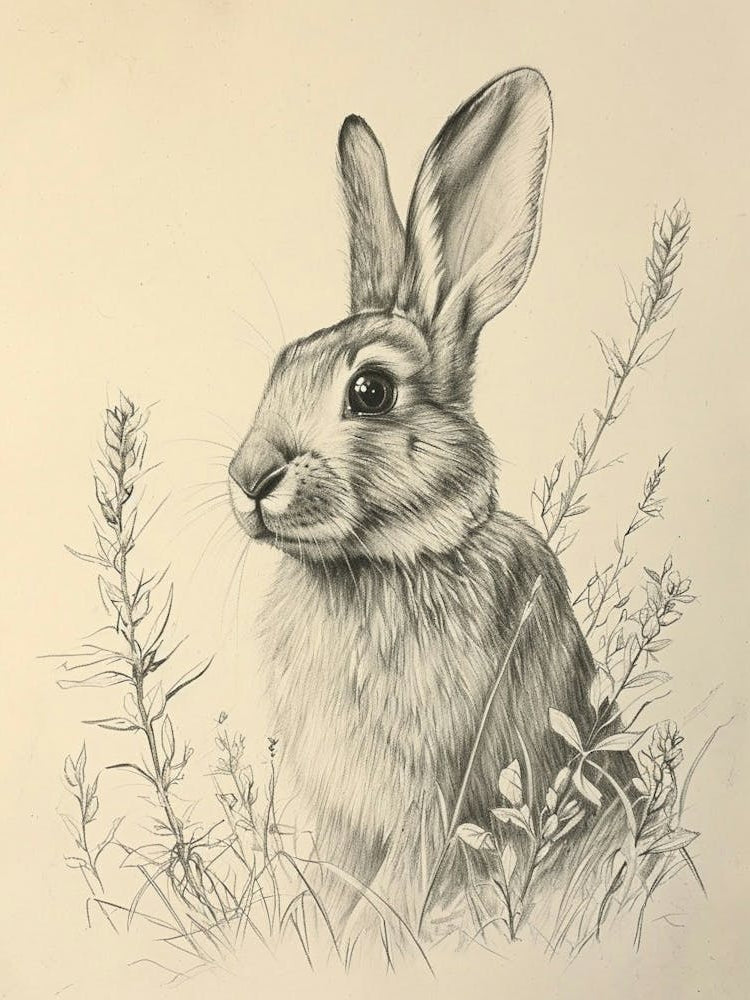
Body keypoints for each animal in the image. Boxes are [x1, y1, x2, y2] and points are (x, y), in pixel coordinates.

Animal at [227, 67, 633, 939]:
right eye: (283, 364)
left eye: (371, 391)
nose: (249, 476)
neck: (385, 561)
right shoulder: (345, 819)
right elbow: (337, 883)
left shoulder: (435, 797)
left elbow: (394, 895)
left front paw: (365, 943)